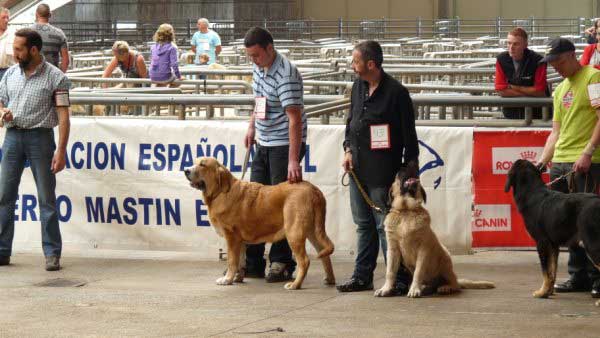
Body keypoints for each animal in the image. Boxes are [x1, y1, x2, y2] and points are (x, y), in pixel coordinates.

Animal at [185, 157, 336, 290]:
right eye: (194, 162)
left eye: (202, 164)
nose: (186, 170)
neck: (220, 192)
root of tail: (314, 190)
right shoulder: (240, 241)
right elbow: (240, 262)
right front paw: (237, 278)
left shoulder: (231, 237)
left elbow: (232, 261)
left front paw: (227, 279)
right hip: (313, 231)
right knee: (324, 255)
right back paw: (329, 279)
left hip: (294, 233)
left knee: (304, 261)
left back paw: (295, 285)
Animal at [504, 158, 600, 304]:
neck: (532, 193)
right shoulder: (553, 245)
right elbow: (551, 271)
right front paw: (548, 291)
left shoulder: (542, 242)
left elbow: (545, 270)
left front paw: (541, 292)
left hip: (592, 243)